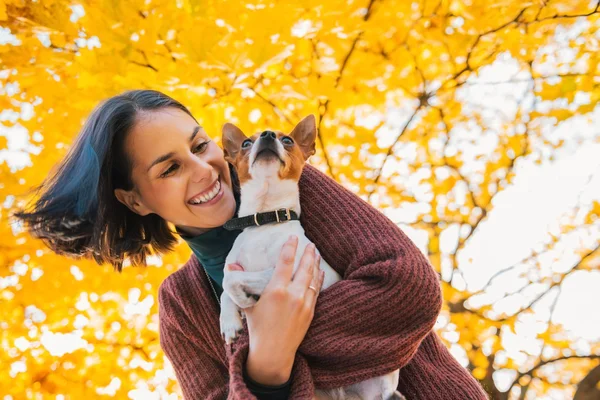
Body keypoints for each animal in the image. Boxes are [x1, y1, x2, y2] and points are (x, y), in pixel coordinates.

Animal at [218, 115, 406, 400]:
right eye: (245, 143)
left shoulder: (291, 273)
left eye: (288, 140)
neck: (265, 221)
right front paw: (229, 322)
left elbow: (232, 280)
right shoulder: (239, 265)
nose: (267, 134)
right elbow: (226, 285)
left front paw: (242, 300)